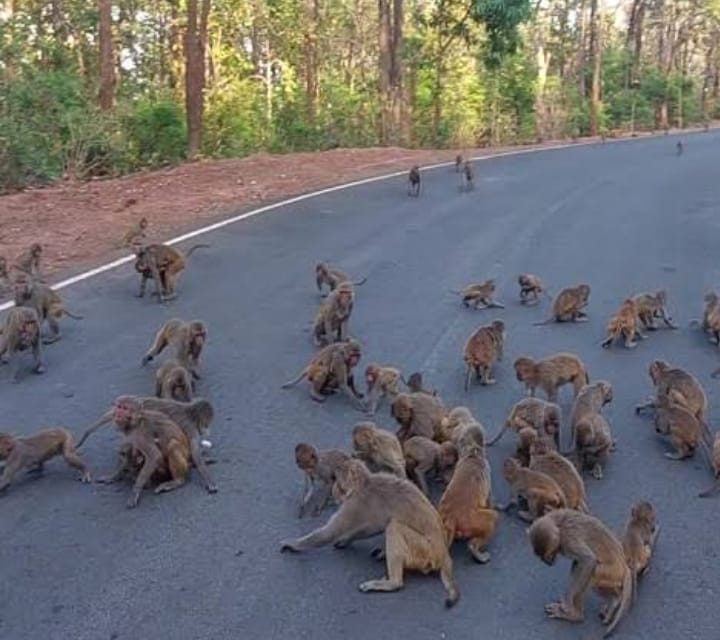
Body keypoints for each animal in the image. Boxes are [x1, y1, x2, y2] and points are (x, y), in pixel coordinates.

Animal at [280, 459, 460, 607]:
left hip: (424, 549)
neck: (365, 482)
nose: (334, 491)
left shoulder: (356, 503)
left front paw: (293, 544)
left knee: (394, 526)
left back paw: (392, 582)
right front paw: (346, 539)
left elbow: (330, 532)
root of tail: (443, 552)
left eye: (338, 482)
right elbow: (372, 527)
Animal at [528, 509, 634, 638]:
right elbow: (581, 563)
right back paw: (615, 599)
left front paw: (567, 605)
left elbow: (588, 561)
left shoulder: (568, 540)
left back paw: (575, 615)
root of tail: (624, 564)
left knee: (590, 571)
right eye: (542, 559)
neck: (558, 526)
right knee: (577, 565)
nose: (548, 563)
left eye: (548, 556)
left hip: (610, 572)